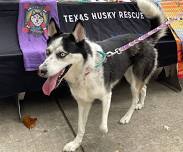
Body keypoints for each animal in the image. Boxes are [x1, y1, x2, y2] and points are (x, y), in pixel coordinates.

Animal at [38, 0, 166, 151]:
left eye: (62, 54)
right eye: (47, 52)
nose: (41, 70)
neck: (85, 72)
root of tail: (146, 39)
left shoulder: (106, 95)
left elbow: (102, 127)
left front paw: (103, 131)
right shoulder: (83, 103)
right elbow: (80, 127)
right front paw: (76, 143)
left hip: (134, 82)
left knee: (135, 96)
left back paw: (128, 116)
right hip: (130, 76)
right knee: (144, 88)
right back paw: (140, 104)